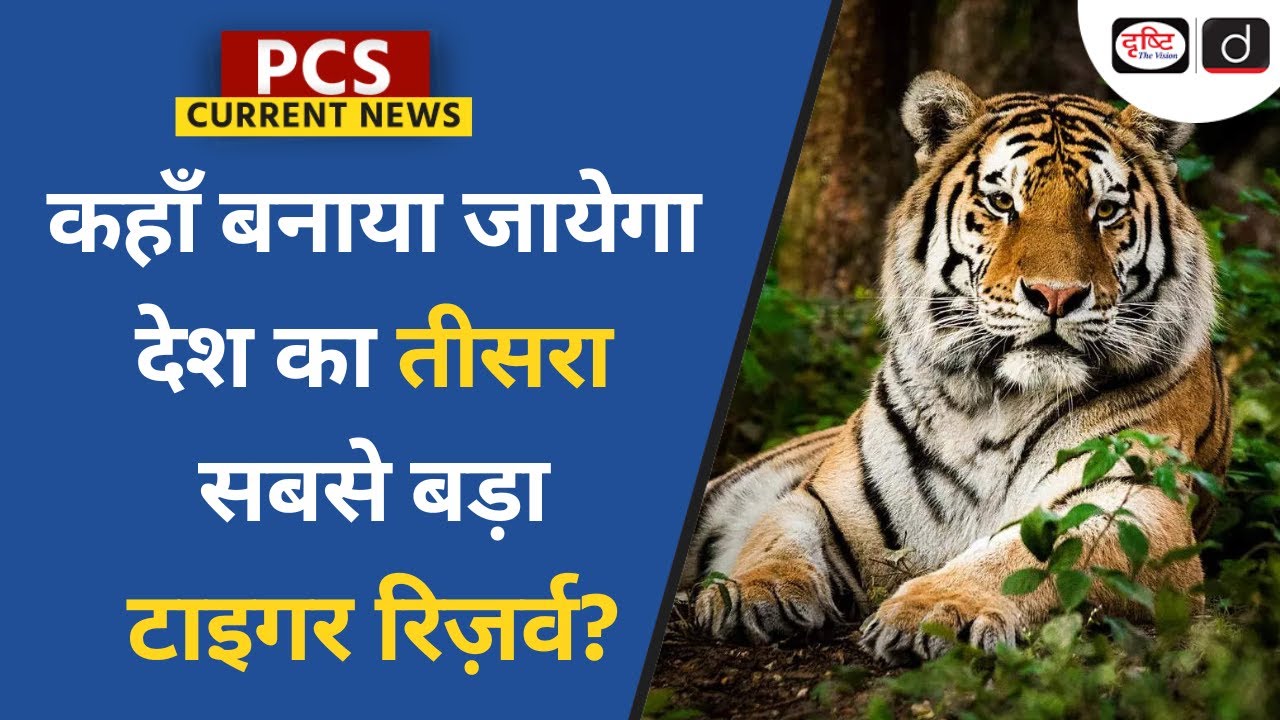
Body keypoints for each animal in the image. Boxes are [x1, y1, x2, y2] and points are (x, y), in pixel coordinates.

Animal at [681, 71, 1231, 665]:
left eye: (1105, 210)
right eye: (1002, 202)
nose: (1055, 295)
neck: (993, 402)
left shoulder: (1134, 504)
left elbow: (1028, 557)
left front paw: (937, 611)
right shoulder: (821, 499)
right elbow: (775, 535)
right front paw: (751, 592)